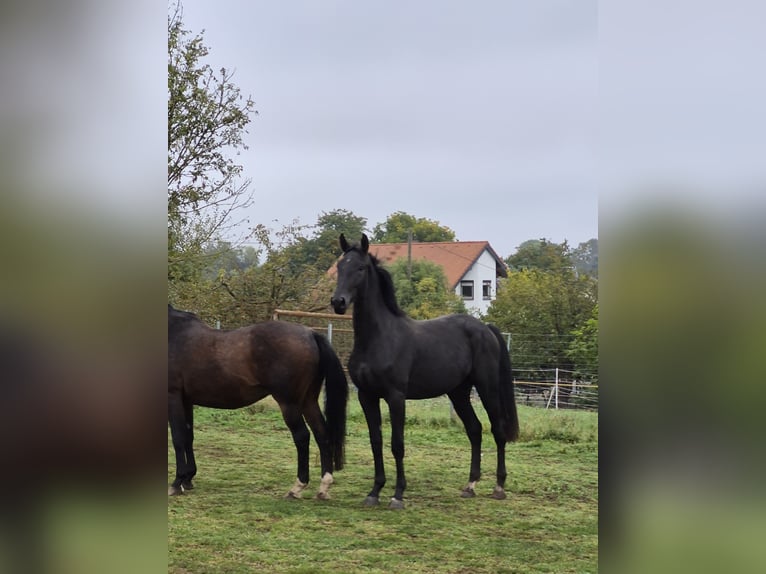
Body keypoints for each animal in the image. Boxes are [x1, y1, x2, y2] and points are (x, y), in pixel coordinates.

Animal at [168, 304, 348, 499]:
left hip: (289, 403)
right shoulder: (186, 400)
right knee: (321, 434)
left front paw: (177, 482)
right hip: (308, 401)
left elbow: (178, 437)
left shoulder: (173, 396)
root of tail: (311, 334)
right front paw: (188, 479)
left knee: (302, 436)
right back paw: (324, 485)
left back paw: (297, 487)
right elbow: (188, 437)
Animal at [330, 234, 519, 509]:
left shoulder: (396, 397)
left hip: (487, 388)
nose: (338, 302)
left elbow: (397, 444)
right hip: (458, 393)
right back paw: (470, 485)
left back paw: (499, 487)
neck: (379, 338)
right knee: (474, 430)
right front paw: (374, 491)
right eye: (339, 267)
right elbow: (376, 442)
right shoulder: (367, 396)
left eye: (361, 268)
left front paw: (398, 495)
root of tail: (485, 328)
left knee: (497, 429)